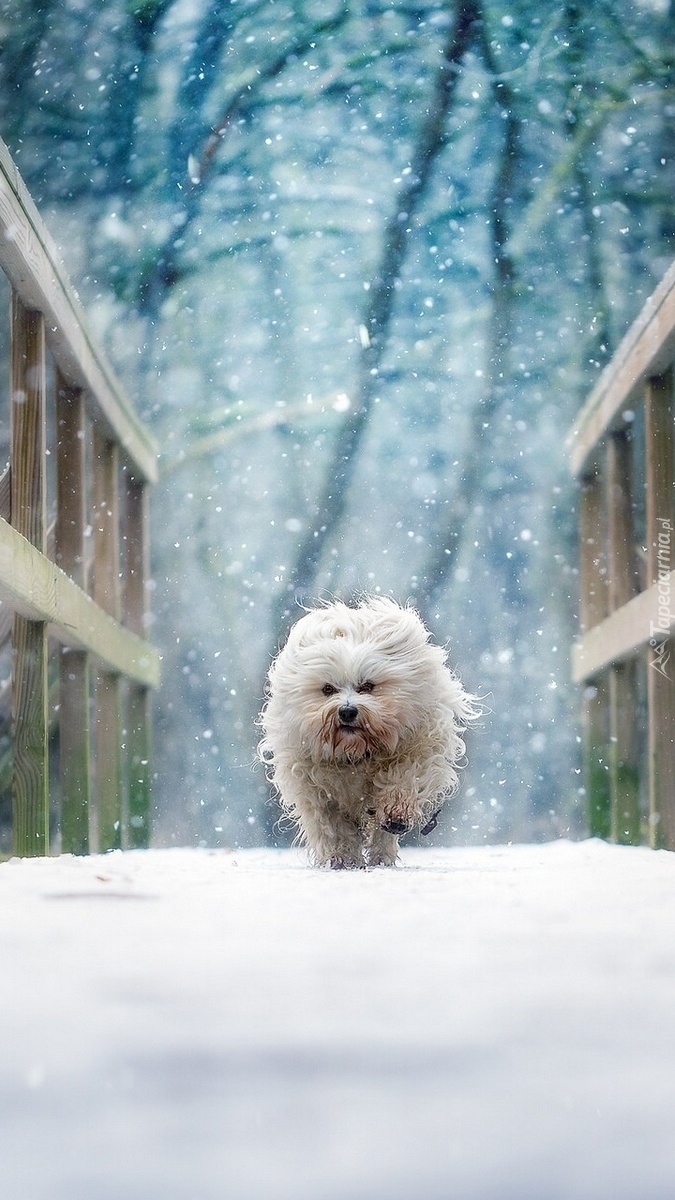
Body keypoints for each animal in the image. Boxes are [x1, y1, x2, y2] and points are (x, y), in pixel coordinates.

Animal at [258, 595, 478, 868]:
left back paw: (383, 854)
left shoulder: (419, 747)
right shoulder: (315, 785)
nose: (347, 711)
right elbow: (333, 824)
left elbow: (405, 778)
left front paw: (397, 812)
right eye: (328, 689)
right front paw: (342, 857)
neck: (358, 749)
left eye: (367, 686)